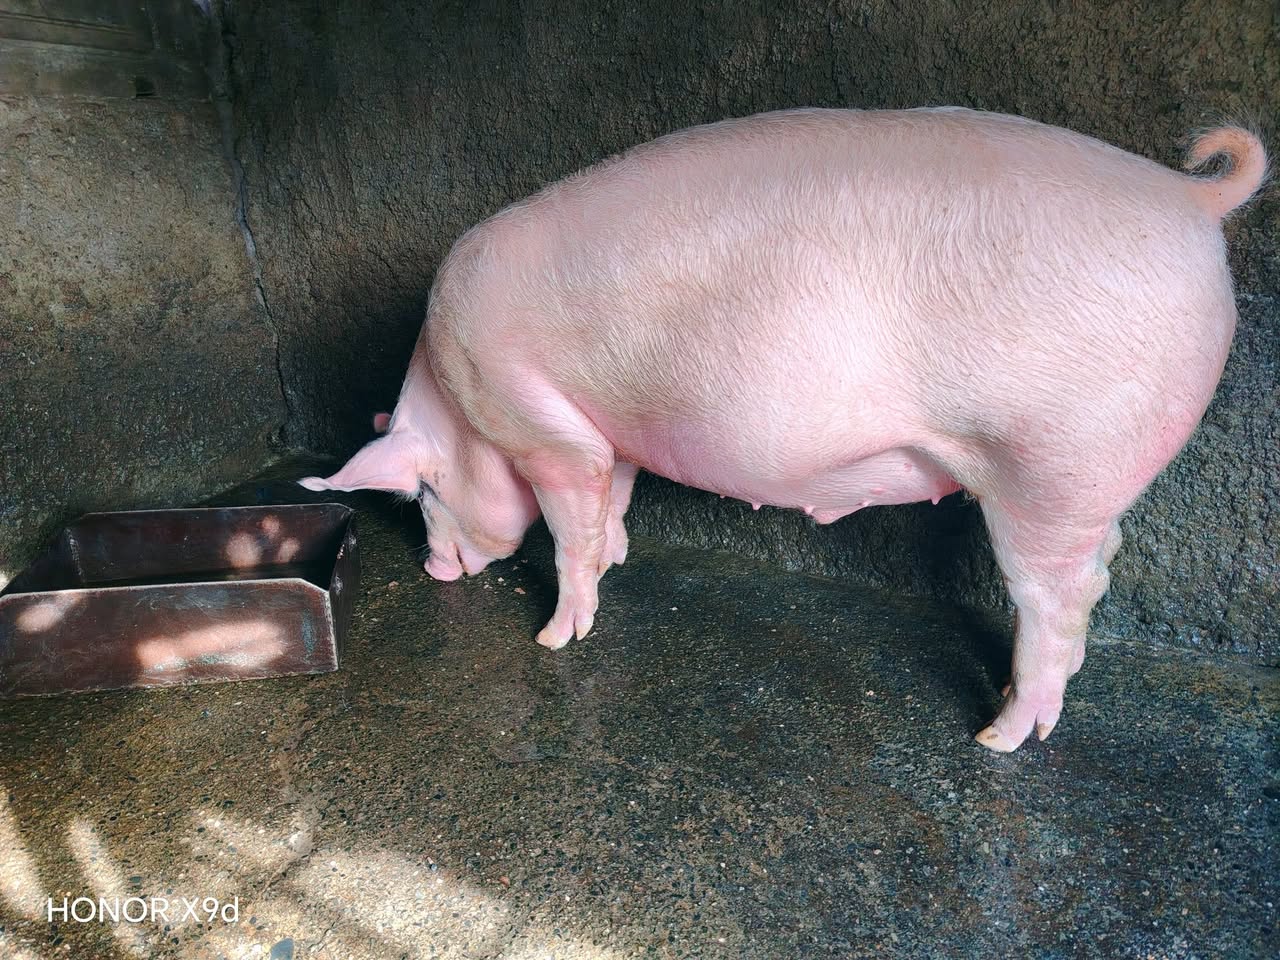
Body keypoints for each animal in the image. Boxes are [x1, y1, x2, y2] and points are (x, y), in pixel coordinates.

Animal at [301, 107, 1267, 752]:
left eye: (423, 491)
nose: (433, 568)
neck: (458, 391)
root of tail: (1190, 198)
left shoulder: (549, 435)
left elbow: (572, 524)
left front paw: (554, 637)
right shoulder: (608, 432)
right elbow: (615, 498)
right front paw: (618, 558)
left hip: (1051, 459)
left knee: (1056, 599)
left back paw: (1000, 737)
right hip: (1088, 475)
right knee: (1097, 572)